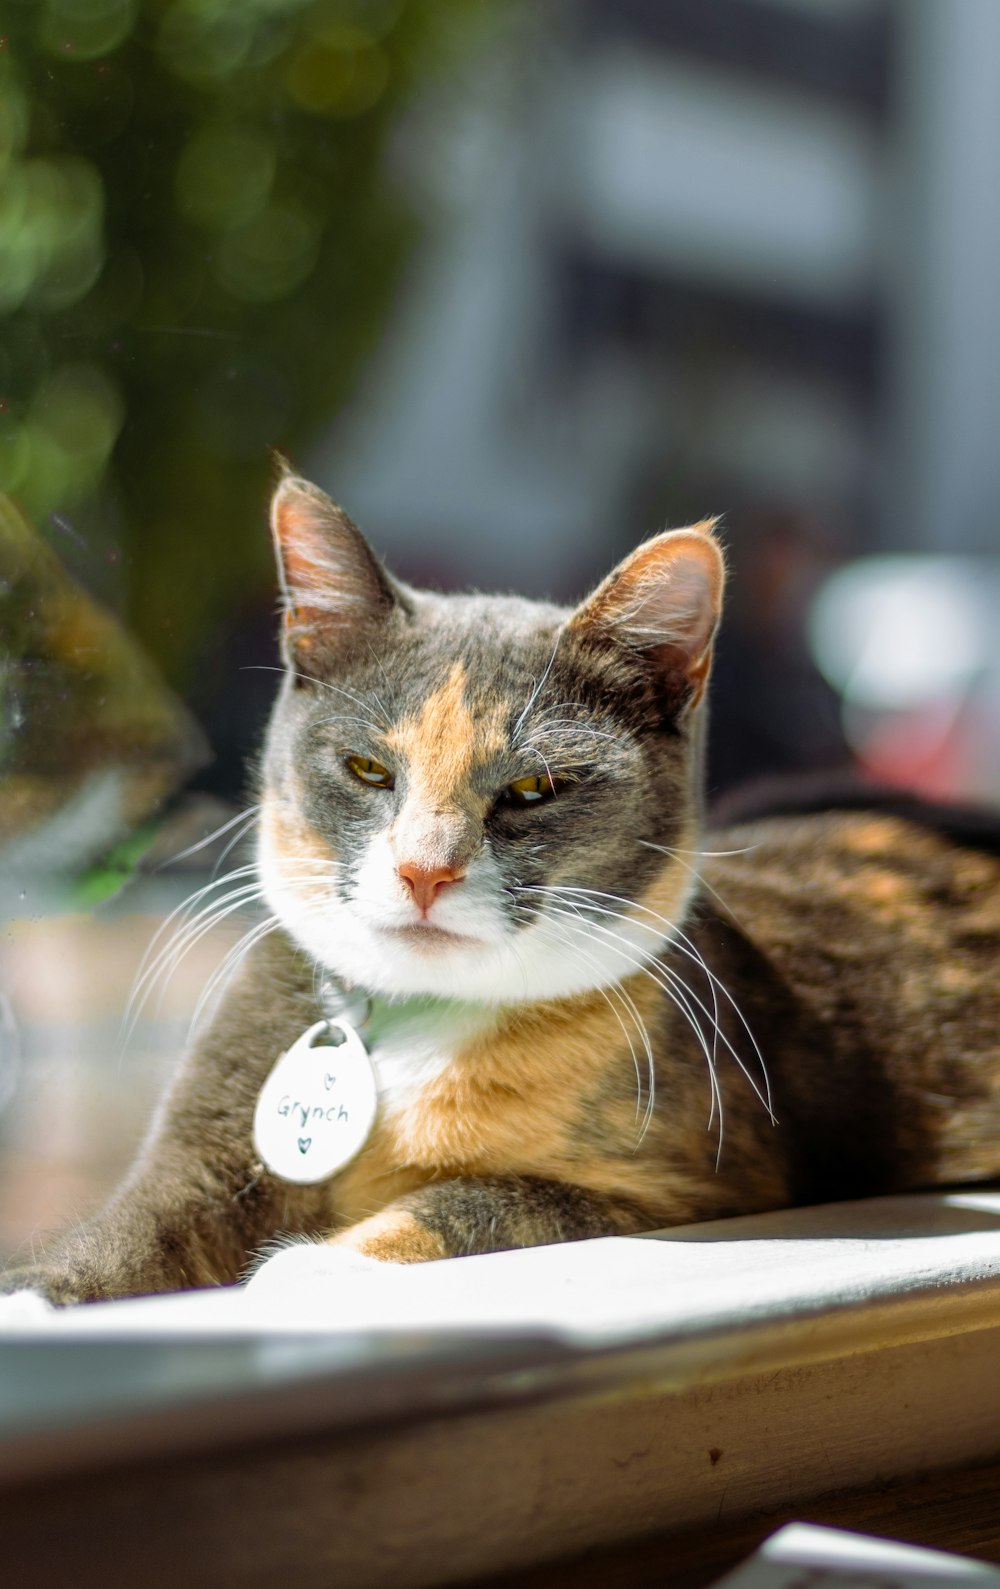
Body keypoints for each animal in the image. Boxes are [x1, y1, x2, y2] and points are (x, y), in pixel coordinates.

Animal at [1, 467, 998, 1302]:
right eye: (368, 768)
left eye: (531, 789)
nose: (423, 867)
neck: (413, 1023)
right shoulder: (200, 1149)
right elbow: (120, 1237)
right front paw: (39, 1294)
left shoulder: (689, 1182)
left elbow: (480, 1199)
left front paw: (308, 1268)